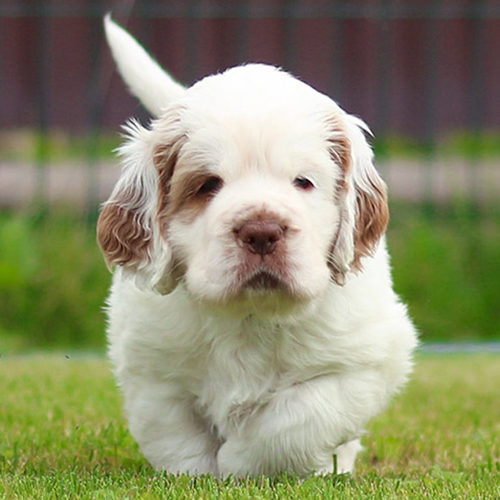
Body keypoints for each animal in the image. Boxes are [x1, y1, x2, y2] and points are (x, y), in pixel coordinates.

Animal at [97, 17, 418, 478]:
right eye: (207, 185)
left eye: (303, 182)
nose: (262, 231)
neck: (249, 316)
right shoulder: (152, 369)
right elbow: (175, 437)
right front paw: (198, 473)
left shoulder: (364, 363)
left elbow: (295, 421)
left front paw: (240, 462)